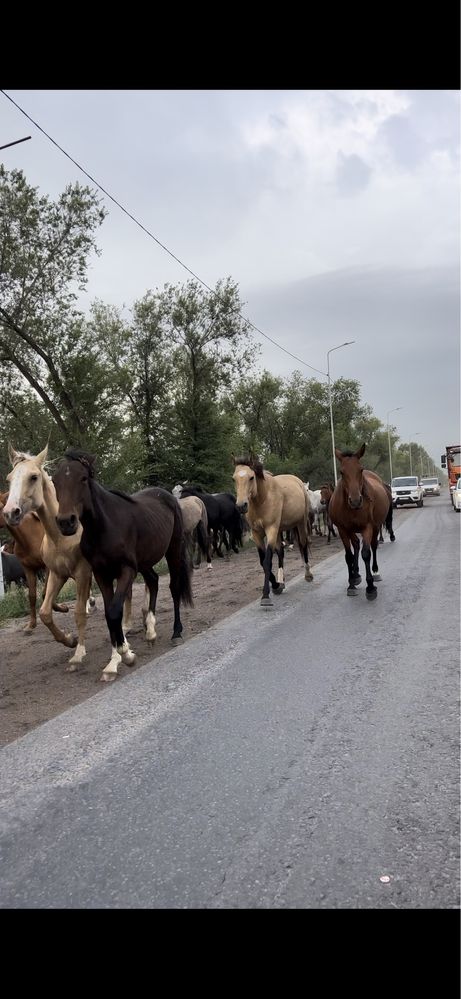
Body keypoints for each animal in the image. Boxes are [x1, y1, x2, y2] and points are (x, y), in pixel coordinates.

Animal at [1, 446, 93, 664]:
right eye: (9, 478)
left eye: (33, 477)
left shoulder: (82, 572)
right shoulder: (56, 574)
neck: (61, 538)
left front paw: (79, 652)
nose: (10, 512)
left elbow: (78, 612)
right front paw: (69, 640)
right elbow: (44, 611)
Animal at [53, 450, 192, 684]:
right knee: (153, 580)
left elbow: (115, 611)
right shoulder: (102, 574)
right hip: (144, 562)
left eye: (83, 478)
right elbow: (110, 614)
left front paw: (126, 655)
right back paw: (150, 631)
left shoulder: (126, 570)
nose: (66, 522)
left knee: (173, 588)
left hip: (172, 551)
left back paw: (176, 633)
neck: (105, 528)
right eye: (55, 481)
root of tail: (168, 496)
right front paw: (114, 663)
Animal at [230, 456, 312, 608]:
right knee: (280, 552)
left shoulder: (271, 530)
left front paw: (266, 595)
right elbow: (263, 562)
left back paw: (308, 574)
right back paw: (282, 581)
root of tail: (297, 481)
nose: (241, 506)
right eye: (234, 479)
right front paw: (276, 585)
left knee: (303, 544)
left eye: (251, 477)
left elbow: (267, 561)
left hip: (300, 523)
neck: (262, 500)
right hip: (280, 530)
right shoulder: (257, 534)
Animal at [328, 446, 394, 600]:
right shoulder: (343, 529)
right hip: (352, 530)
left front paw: (370, 587)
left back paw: (375, 572)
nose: (356, 500)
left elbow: (366, 553)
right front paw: (351, 583)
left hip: (375, 526)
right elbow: (348, 556)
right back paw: (356, 574)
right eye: (341, 472)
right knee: (356, 545)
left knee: (373, 546)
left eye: (360, 469)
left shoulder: (367, 527)